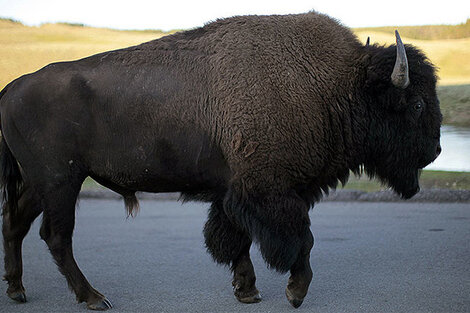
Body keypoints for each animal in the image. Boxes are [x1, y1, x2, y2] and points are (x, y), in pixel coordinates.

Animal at [0, 10, 440, 310]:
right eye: (417, 103)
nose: (435, 151)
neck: (336, 87)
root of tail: (11, 89)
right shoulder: (271, 192)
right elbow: (300, 239)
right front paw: (295, 292)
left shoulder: (233, 193)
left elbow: (234, 239)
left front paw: (247, 291)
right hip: (61, 182)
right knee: (56, 237)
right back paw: (93, 297)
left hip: (40, 184)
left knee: (16, 225)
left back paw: (18, 290)